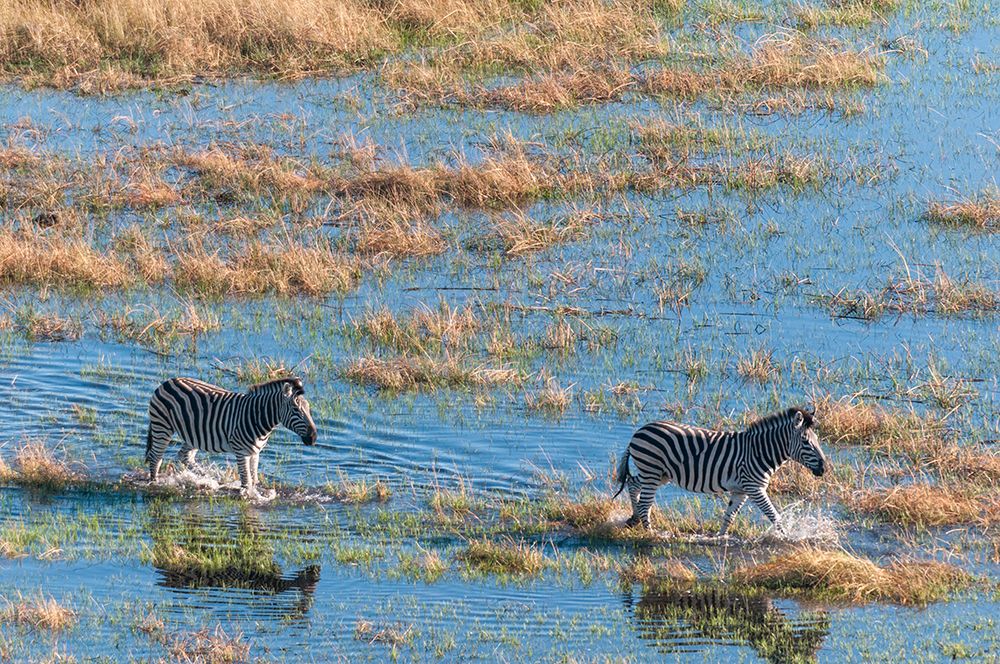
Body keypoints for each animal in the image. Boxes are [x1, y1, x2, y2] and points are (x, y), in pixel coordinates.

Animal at [145, 376, 317, 498]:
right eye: (295, 409)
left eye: (309, 409)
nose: (314, 437)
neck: (258, 417)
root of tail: (167, 382)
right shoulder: (241, 452)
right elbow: (247, 481)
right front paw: (250, 497)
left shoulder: (255, 453)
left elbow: (254, 479)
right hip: (162, 427)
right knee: (156, 457)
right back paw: (155, 483)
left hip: (193, 434)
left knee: (184, 456)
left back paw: (207, 479)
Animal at [613, 406, 826, 535]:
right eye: (806, 442)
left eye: (817, 440)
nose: (824, 468)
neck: (759, 451)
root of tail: (640, 430)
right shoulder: (754, 488)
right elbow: (775, 516)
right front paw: (787, 537)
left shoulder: (741, 491)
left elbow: (729, 517)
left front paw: (719, 538)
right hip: (652, 470)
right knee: (645, 502)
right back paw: (650, 533)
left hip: (659, 474)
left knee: (633, 484)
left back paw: (634, 519)